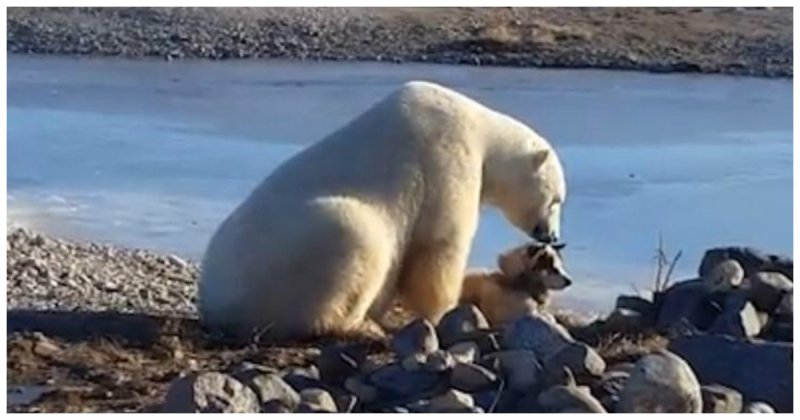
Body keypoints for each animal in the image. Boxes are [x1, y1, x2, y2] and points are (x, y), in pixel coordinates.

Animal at [200, 80, 568, 340]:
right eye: (557, 199)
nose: (551, 234)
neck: (482, 130)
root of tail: (214, 302)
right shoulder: (447, 158)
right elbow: (440, 245)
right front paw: (446, 311)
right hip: (287, 257)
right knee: (355, 236)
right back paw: (357, 326)